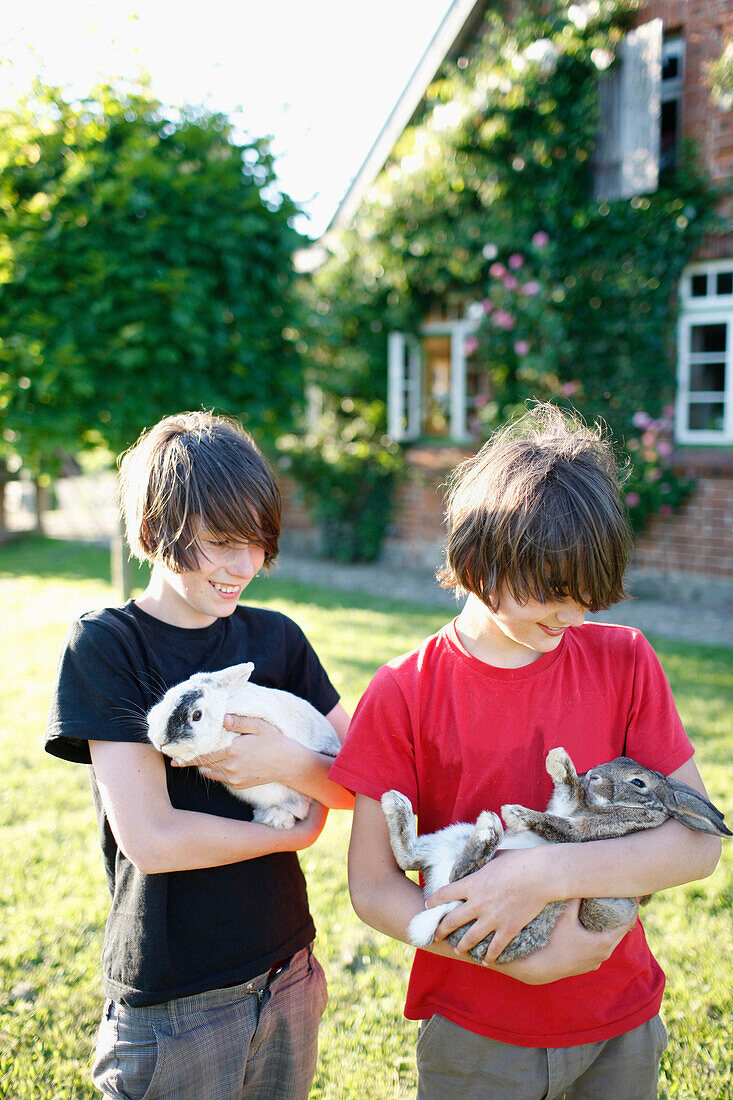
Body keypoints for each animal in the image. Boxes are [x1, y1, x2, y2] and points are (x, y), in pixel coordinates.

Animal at [378, 748, 726, 963]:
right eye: (620, 757)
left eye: (638, 782)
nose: (594, 775)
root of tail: (440, 908)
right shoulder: (566, 805)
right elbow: (567, 793)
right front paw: (561, 762)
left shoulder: (581, 833)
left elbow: (556, 824)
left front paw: (517, 812)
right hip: (451, 838)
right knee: (411, 858)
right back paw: (396, 804)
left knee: (460, 874)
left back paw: (488, 829)